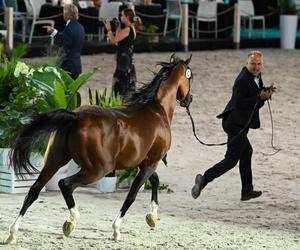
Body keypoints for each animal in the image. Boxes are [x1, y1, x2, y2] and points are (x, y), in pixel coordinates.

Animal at [4, 53, 193, 243]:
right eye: (189, 76)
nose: (189, 99)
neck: (156, 110)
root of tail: (75, 116)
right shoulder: (151, 162)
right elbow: (132, 195)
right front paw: (117, 230)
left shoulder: (143, 163)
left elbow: (155, 180)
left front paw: (152, 217)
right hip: (98, 169)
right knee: (65, 184)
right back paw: (71, 222)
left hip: (54, 161)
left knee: (34, 190)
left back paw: (13, 233)